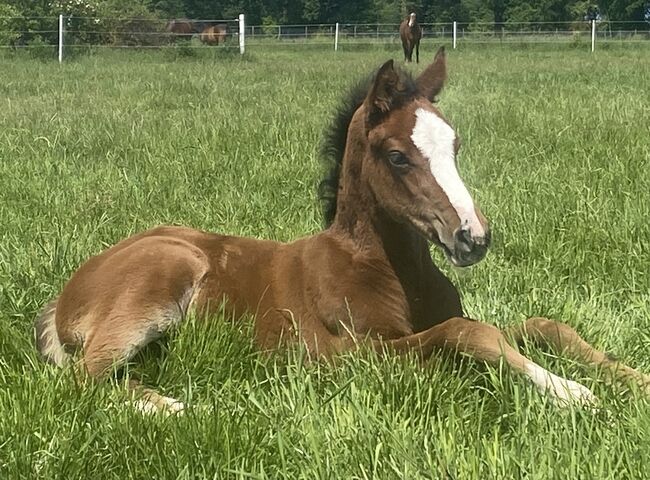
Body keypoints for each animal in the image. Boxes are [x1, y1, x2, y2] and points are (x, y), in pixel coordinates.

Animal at [35, 47, 648, 412]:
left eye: (455, 144)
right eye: (398, 156)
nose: (472, 238)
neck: (388, 269)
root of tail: (63, 297)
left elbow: (541, 326)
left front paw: (632, 379)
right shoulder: (347, 355)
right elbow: (469, 333)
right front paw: (571, 390)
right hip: (164, 275)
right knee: (85, 377)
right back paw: (176, 406)